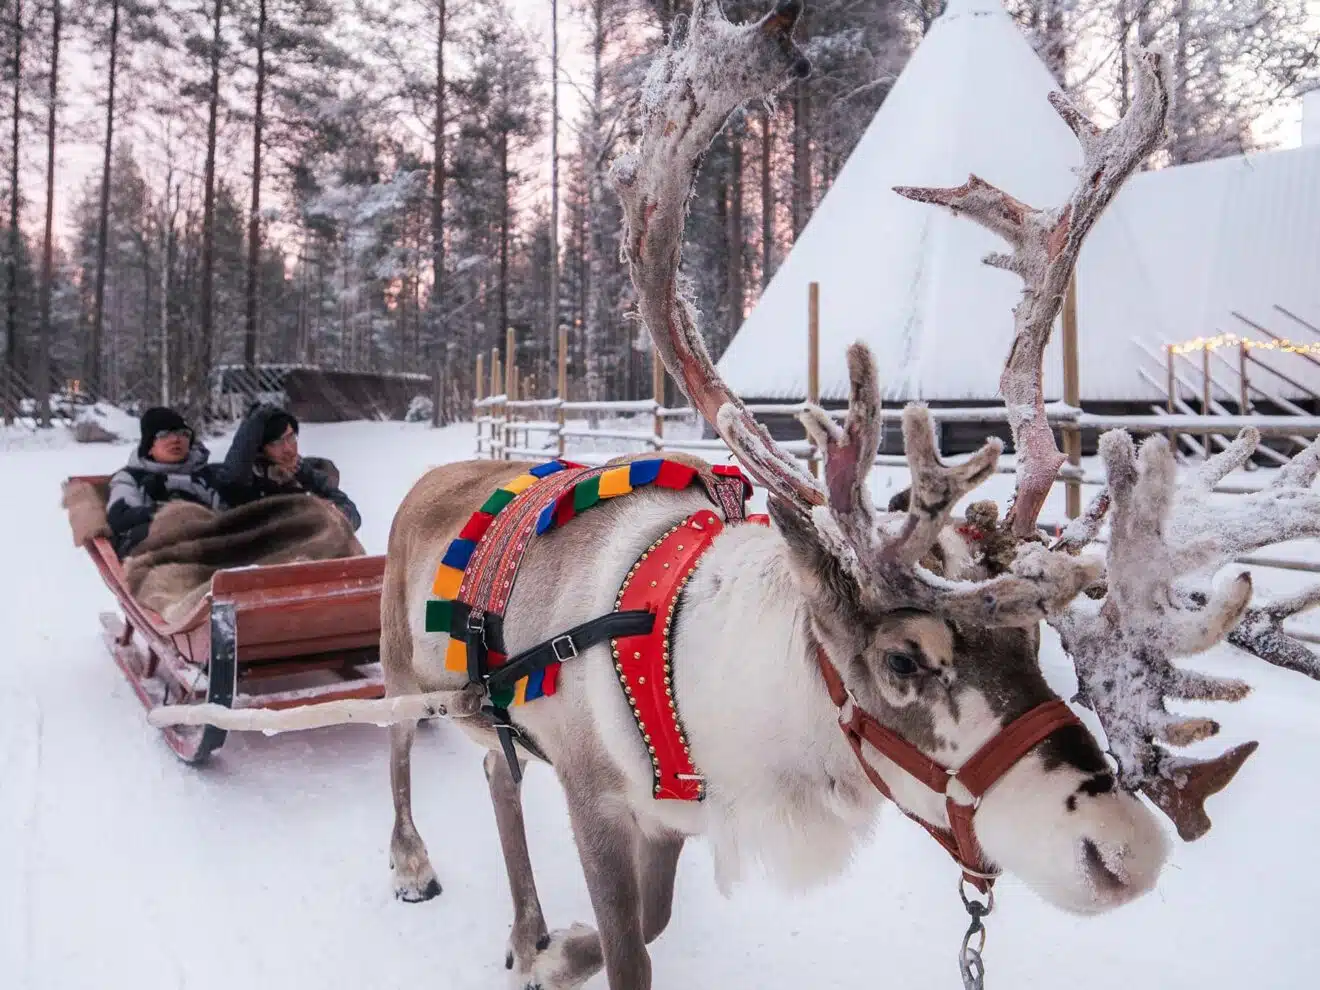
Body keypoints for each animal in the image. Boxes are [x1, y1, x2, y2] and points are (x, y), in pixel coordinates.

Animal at [376, 4, 1320, 989]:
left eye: (1032, 643)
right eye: (904, 660)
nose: (1125, 851)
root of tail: (431, 480)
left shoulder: (669, 821)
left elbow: (655, 920)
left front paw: (555, 950)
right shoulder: (595, 790)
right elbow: (632, 948)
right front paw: (565, 952)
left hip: (482, 719)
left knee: (495, 772)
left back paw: (525, 928)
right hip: (399, 666)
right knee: (398, 753)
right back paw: (412, 866)